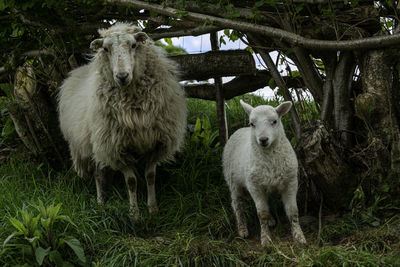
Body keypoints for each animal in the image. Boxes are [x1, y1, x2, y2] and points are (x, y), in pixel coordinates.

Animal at [57, 23, 188, 220]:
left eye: (133, 45)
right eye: (105, 49)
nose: (122, 76)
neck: (134, 108)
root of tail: (77, 70)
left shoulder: (156, 144)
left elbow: (150, 177)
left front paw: (153, 209)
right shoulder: (117, 148)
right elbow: (131, 181)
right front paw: (134, 214)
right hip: (94, 144)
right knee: (97, 175)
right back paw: (101, 202)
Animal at [222, 101, 306, 247]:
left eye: (274, 121)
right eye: (252, 123)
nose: (263, 139)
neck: (270, 159)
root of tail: (239, 130)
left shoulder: (290, 182)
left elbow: (293, 211)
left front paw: (299, 236)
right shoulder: (254, 186)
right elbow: (262, 214)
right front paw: (266, 239)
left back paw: (271, 220)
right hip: (234, 182)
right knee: (237, 204)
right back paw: (242, 229)